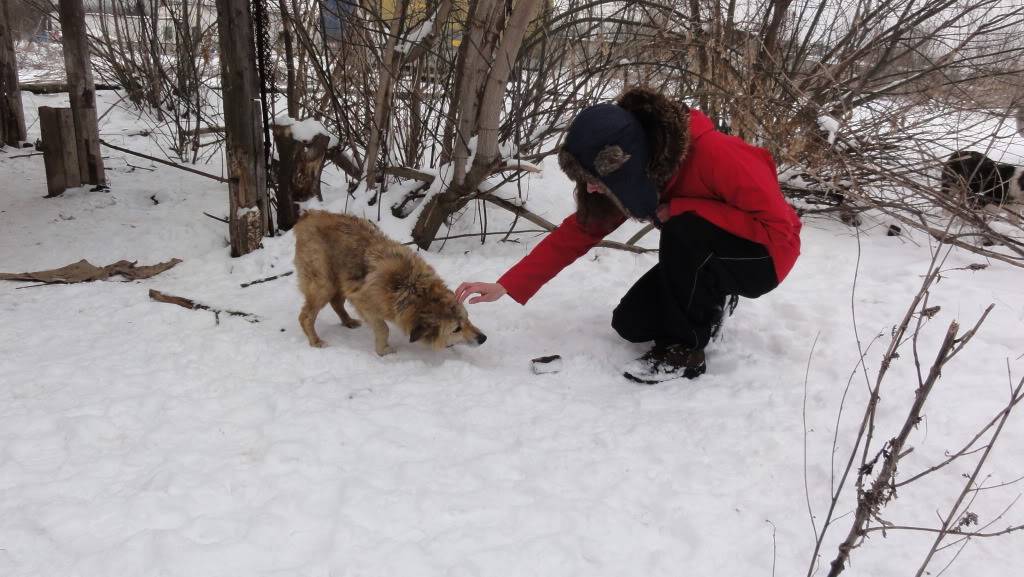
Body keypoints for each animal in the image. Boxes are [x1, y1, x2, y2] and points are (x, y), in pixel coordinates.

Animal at [290, 211, 485, 354]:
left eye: (467, 319)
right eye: (456, 329)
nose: (483, 338)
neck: (412, 289)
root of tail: (308, 215)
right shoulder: (363, 300)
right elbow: (383, 328)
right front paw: (384, 351)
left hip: (339, 280)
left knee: (336, 302)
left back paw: (348, 321)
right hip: (324, 285)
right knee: (305, 316)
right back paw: (316, 341)